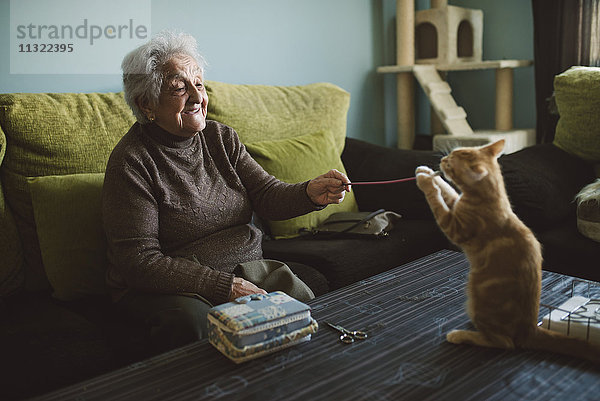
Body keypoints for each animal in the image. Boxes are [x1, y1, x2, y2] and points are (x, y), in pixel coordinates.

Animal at [418, 139, 600, 360]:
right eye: (452, 154)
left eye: (451, 163)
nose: (443, 159)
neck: (493, 197)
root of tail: (530, 328)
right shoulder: (457, 204)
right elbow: (450, 192)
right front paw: (429, 174)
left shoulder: (456, 227)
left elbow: (438, 203)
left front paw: (425, 182)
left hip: (479, 296)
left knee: (504, 343)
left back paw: (462, 335)